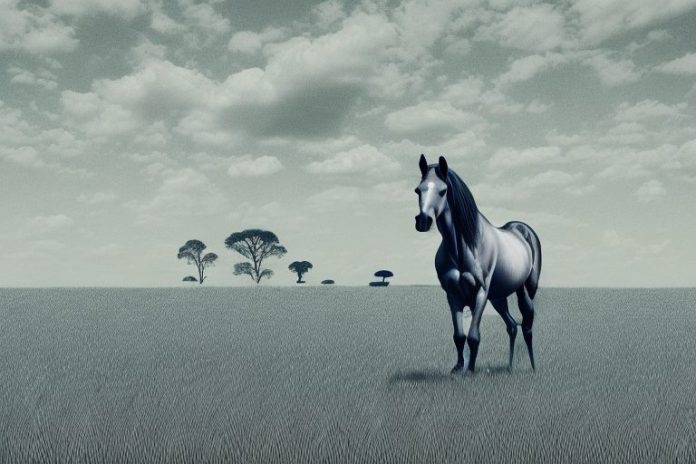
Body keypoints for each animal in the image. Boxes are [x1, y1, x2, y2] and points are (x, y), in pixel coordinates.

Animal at [414, 154, 542, 373]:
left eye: (443, 190)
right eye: (418, 190)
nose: (423, 221)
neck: (464, 246)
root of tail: (522, 230)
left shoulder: (480, 293)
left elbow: (473, 336)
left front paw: (471, 370)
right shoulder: (453, 295)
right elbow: (459, 336)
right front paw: (458, 368)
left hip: (523, 291)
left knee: (527, 326)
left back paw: (533, 368)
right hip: (498, 297)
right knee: (512, 326)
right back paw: (509, 367)